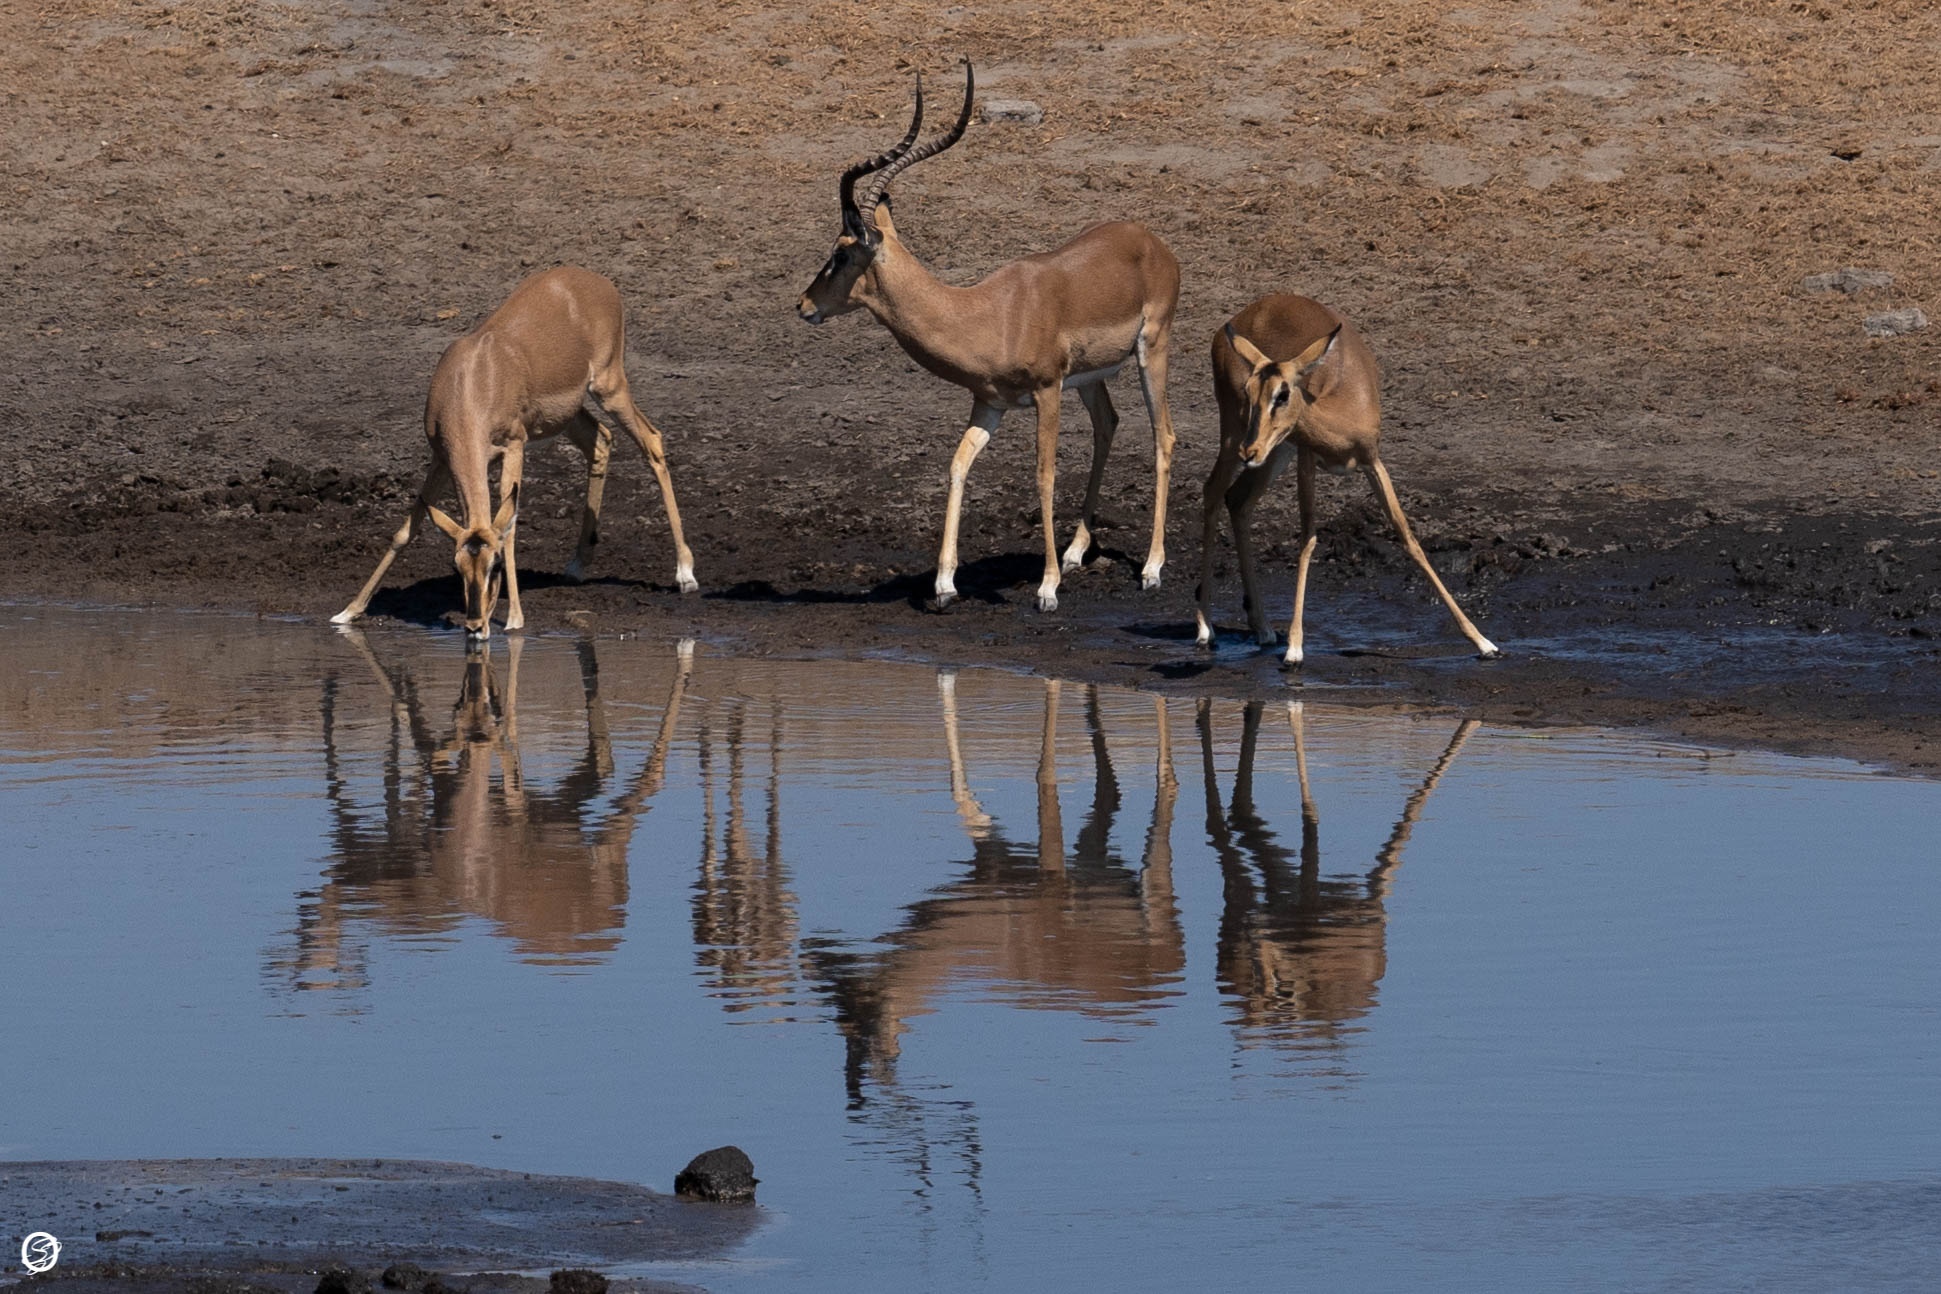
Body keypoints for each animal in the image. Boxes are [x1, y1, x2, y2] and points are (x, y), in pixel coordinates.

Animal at [332, 265, 696, 639]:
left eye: (494, 566)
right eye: (456, 565)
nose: (475, 626)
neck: (474, 382)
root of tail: (596, 279)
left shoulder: (514, 445)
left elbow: (510, 526)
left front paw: (514, 619)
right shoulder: (442, 458)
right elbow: (408, 528)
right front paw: (349, 611)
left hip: (609, 387)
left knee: (652, 441)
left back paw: (685, 574)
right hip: (566, 416)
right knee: (601, 440)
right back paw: (577, 566)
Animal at [798, 62, 1181, 612]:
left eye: (842, 253)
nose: (804, 305)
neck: (990, 314)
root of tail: (1154, 243)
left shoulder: (1046, 392)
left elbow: (1043, 475)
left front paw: (1046, 588)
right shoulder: (991, 402)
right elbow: (958, 465)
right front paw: (944, 586)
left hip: (1153, 351)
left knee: (1162, 435)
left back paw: (1150, 568)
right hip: (1090, 377)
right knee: (1108, 424)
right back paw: (1076, 551)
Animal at [1195, 294, 1499, 663]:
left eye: (1283, 393)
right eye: (1249, 391)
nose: (1248, 450)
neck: (1344, 405)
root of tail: (1243, 315)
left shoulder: (1372, 461)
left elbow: (1408, 537)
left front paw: (1482, 641)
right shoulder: (1307, 460)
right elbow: (1308, 539)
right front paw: (1295, 648)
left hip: (1273, 453)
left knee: (1238, 500)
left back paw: (1263, 629)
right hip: (1238, 438)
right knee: (1212, 491)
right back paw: (1206, 630)